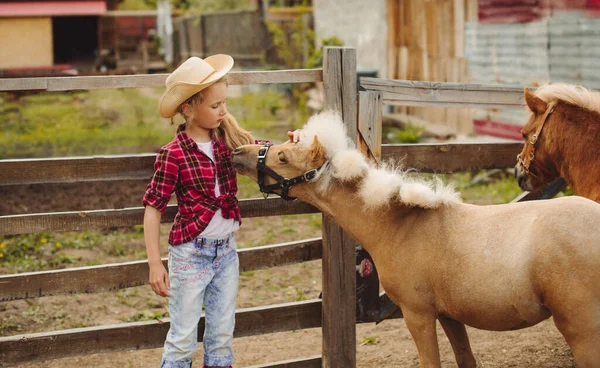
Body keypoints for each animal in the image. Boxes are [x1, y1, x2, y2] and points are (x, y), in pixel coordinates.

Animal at [233, 112, 600, 368]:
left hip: (582, 329)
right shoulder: (450, 316)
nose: (238, 151)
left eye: (283, 157)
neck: (402, 227)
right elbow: (466, 359)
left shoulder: (417, 315)